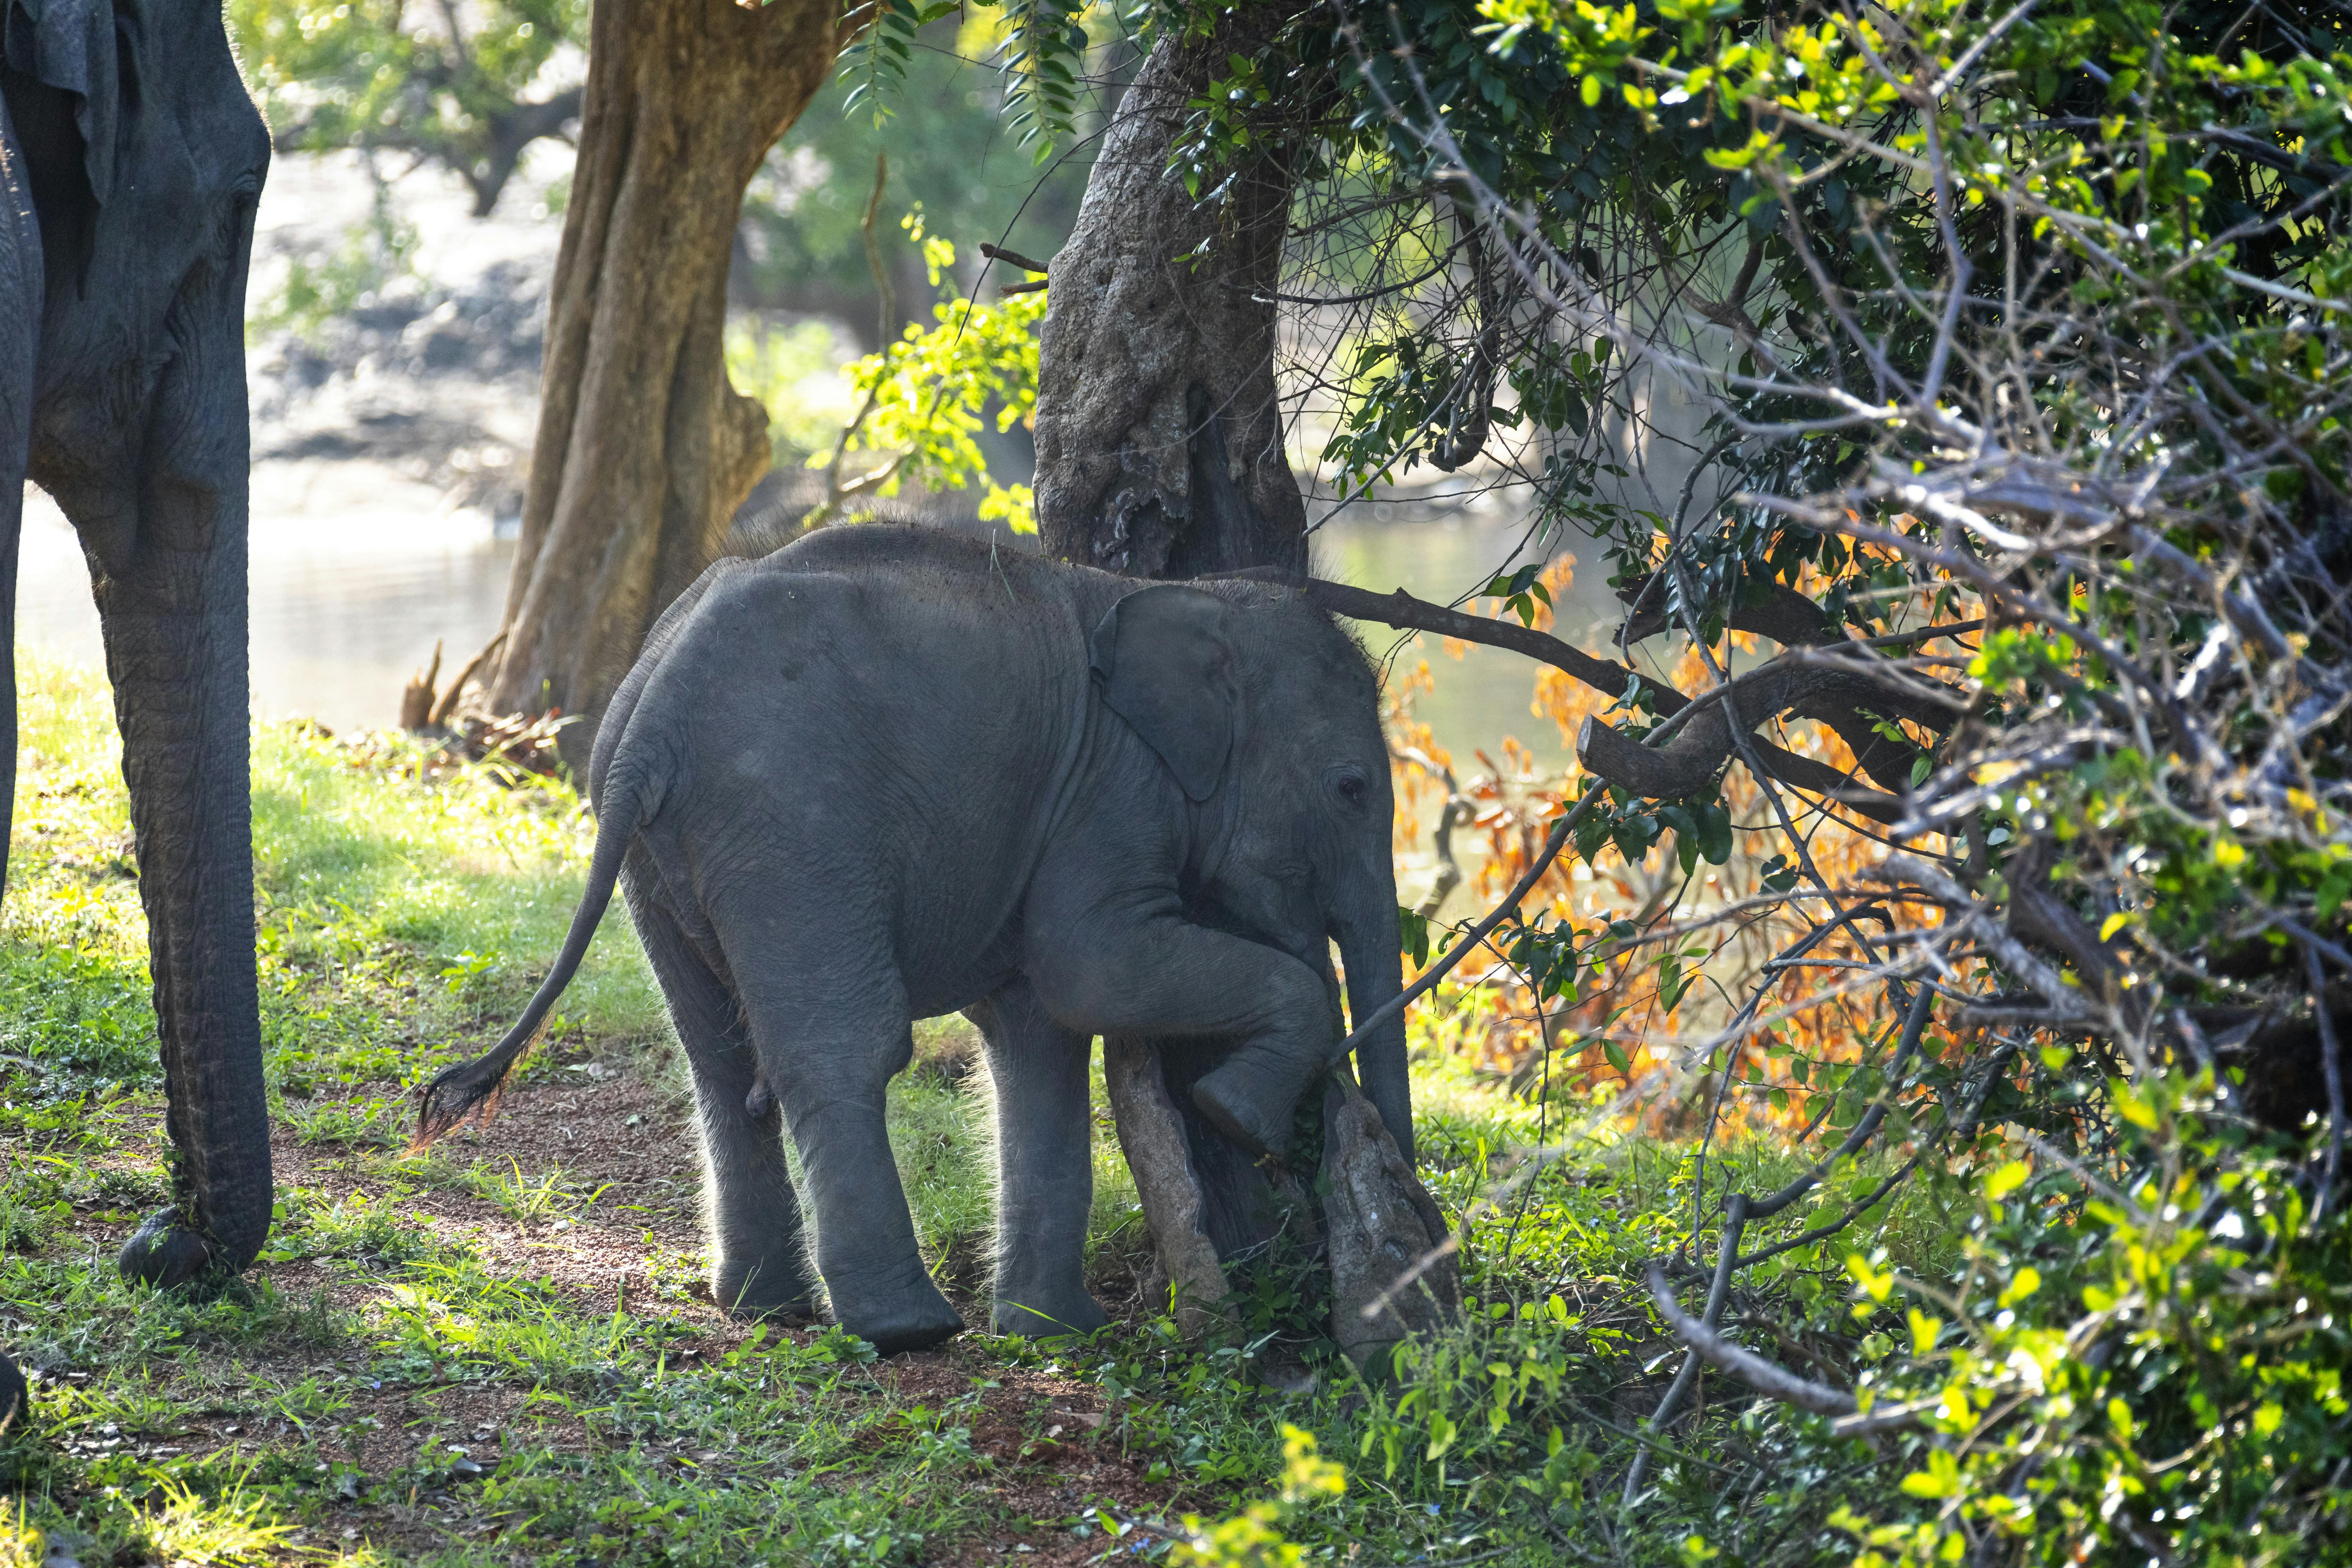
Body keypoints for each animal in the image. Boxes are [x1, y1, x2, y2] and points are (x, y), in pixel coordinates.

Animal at [414, 524, 1402, 1354]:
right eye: (1351, 787)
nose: (1344, 1144)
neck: (1182, 594)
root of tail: (643, 728)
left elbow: (1039, 1035)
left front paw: (1053, 1333)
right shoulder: (1108, 795)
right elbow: (1089, 972)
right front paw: (1233, 1111)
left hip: (660, 860)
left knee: (718, 1056)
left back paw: (762, 1307)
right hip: (794, 826)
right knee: (845, 1049)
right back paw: (905, 1327)